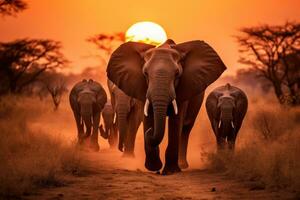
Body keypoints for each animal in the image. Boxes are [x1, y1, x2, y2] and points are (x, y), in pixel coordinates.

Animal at [106, 38, 226, 173]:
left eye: (177, 73)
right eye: (145, 73)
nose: (149, 132)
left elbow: (176, 120)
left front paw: (170, 171)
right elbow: (148, 117)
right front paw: (153, 167)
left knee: (186, 128)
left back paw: (182, 165)